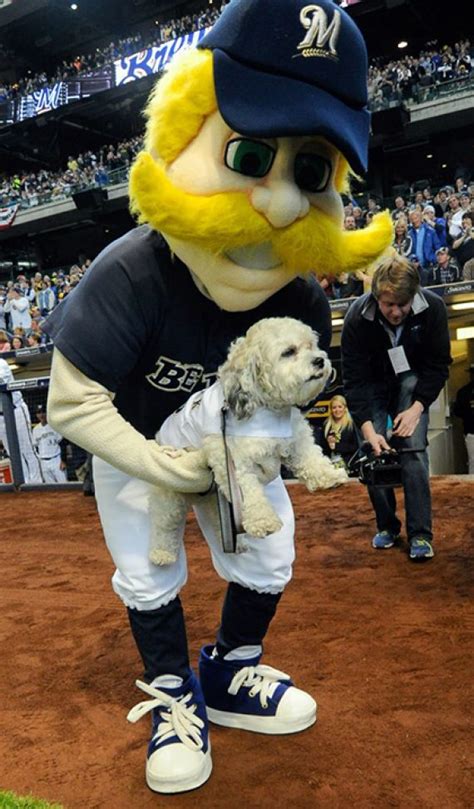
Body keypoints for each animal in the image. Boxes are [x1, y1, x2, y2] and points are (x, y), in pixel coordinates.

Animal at [150, 312, 346, 564]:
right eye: (288, 352)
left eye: (311, 345)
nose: (320, 360)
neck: (268, 408)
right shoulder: (234, 463)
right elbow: (249, 492)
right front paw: (263, 520)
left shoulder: (296, 439)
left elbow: (312, 458)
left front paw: (329, 476)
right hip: (170, 497)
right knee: (163, 526)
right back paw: (161, 553)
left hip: (216, 499)